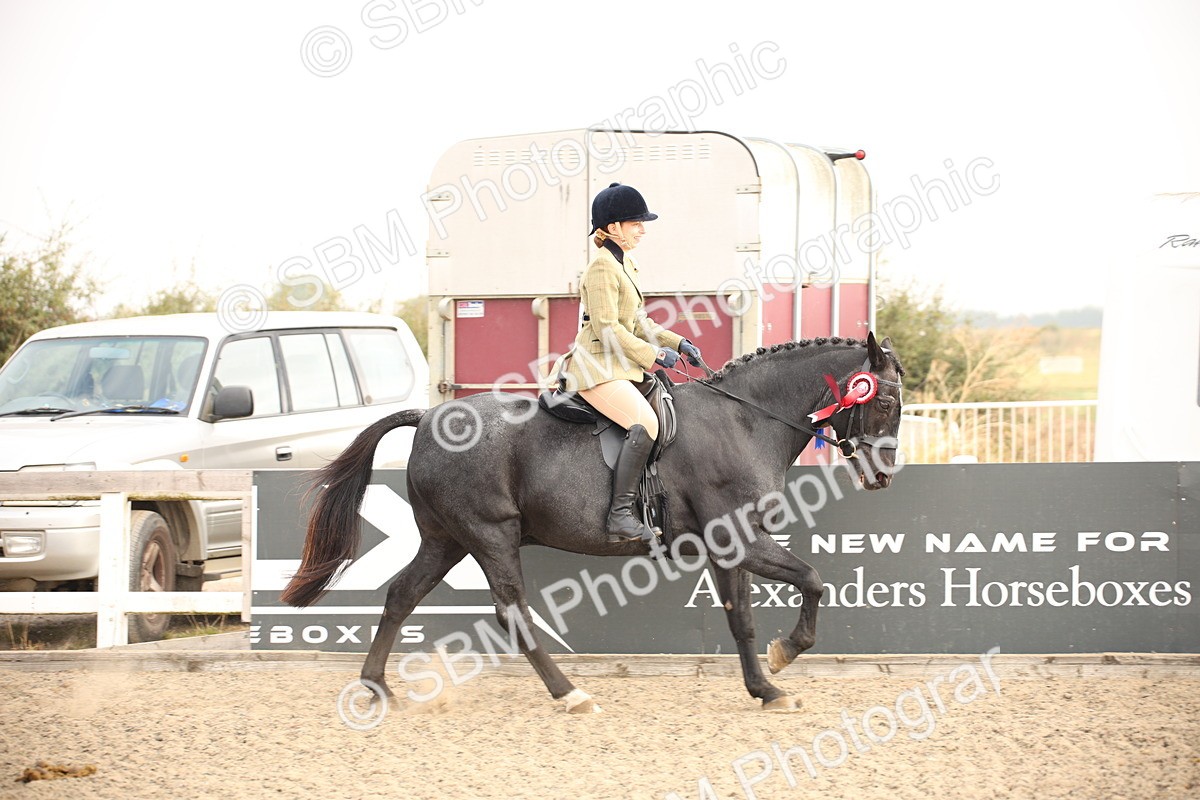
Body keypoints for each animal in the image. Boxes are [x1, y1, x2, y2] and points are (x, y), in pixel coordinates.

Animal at [282, 333, 904, 713]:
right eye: (885, 402)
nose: (883, 475)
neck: (745, 420)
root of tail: (430, 417)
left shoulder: (729, 547)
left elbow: (741, 620)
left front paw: (765, 688)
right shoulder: (739, 537)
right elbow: (813, 580)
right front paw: (788, 652)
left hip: (446, 541)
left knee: (401, 596)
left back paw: (377, 686)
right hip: (490, 535)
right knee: (511, 612)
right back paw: (569, 693)